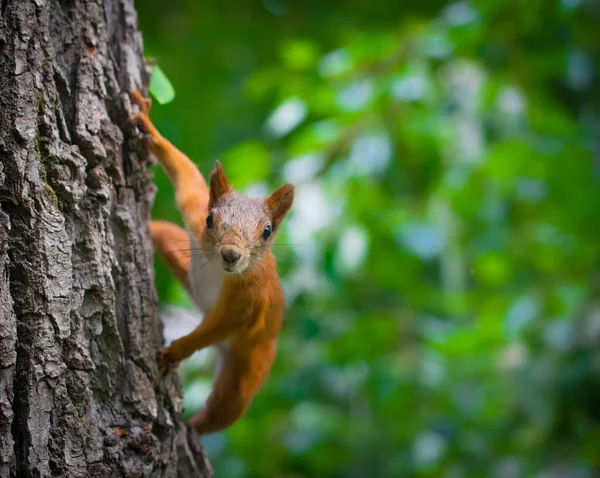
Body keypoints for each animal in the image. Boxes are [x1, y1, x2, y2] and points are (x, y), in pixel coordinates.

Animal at [130, 88, 294, 436]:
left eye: (267, 232)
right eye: (210, 220)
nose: (230, 254)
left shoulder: (250, 296)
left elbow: (224, 324)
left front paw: (178, 350)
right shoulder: (193, 211)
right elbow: (186, 176)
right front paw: (149, 129)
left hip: (249, 366)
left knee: (224, 410)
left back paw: (193, 428)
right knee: (161, 232)